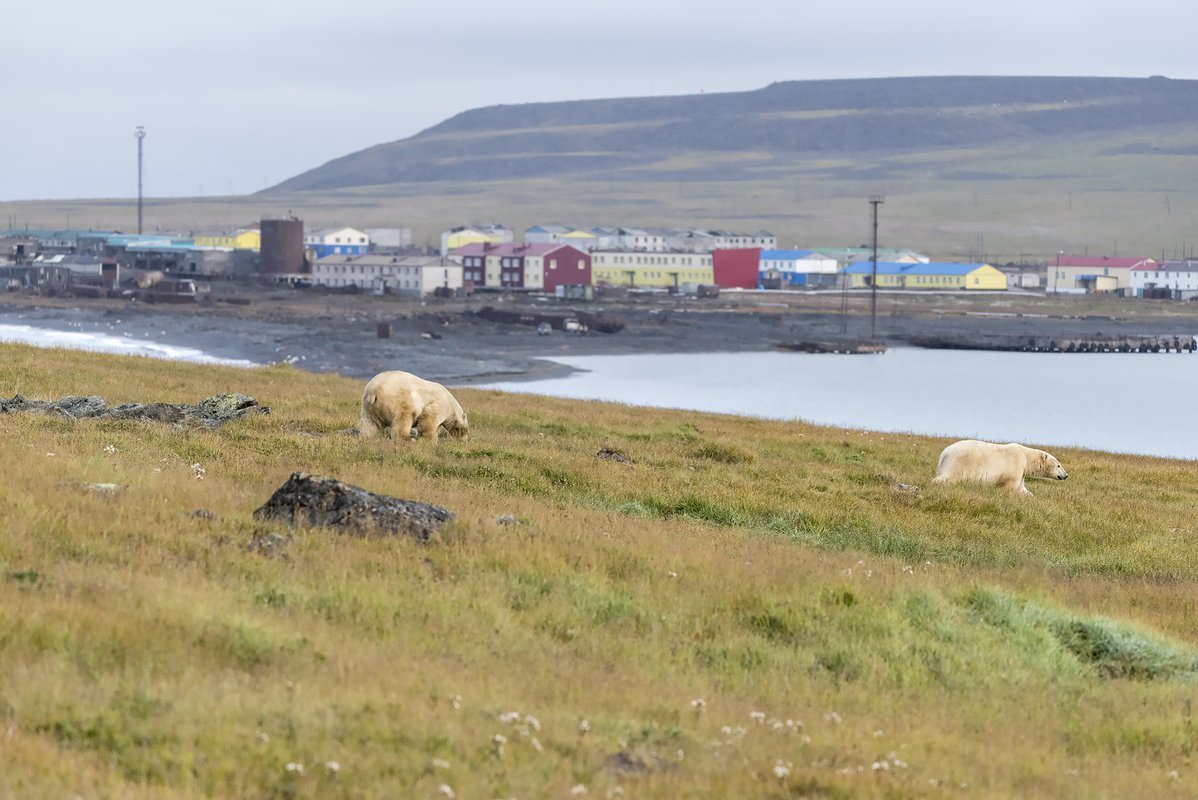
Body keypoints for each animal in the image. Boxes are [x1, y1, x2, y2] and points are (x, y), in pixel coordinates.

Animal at [929, 440, 1073, 495]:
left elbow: (1022, 489)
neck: (1025, 457)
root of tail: (944, 454)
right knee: (949, 477)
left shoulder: (1021, 472)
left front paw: (1032, 497)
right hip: (958, 464)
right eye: (1059, 465)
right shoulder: (1015, 466)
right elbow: (1010, 486)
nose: (1066, 475)